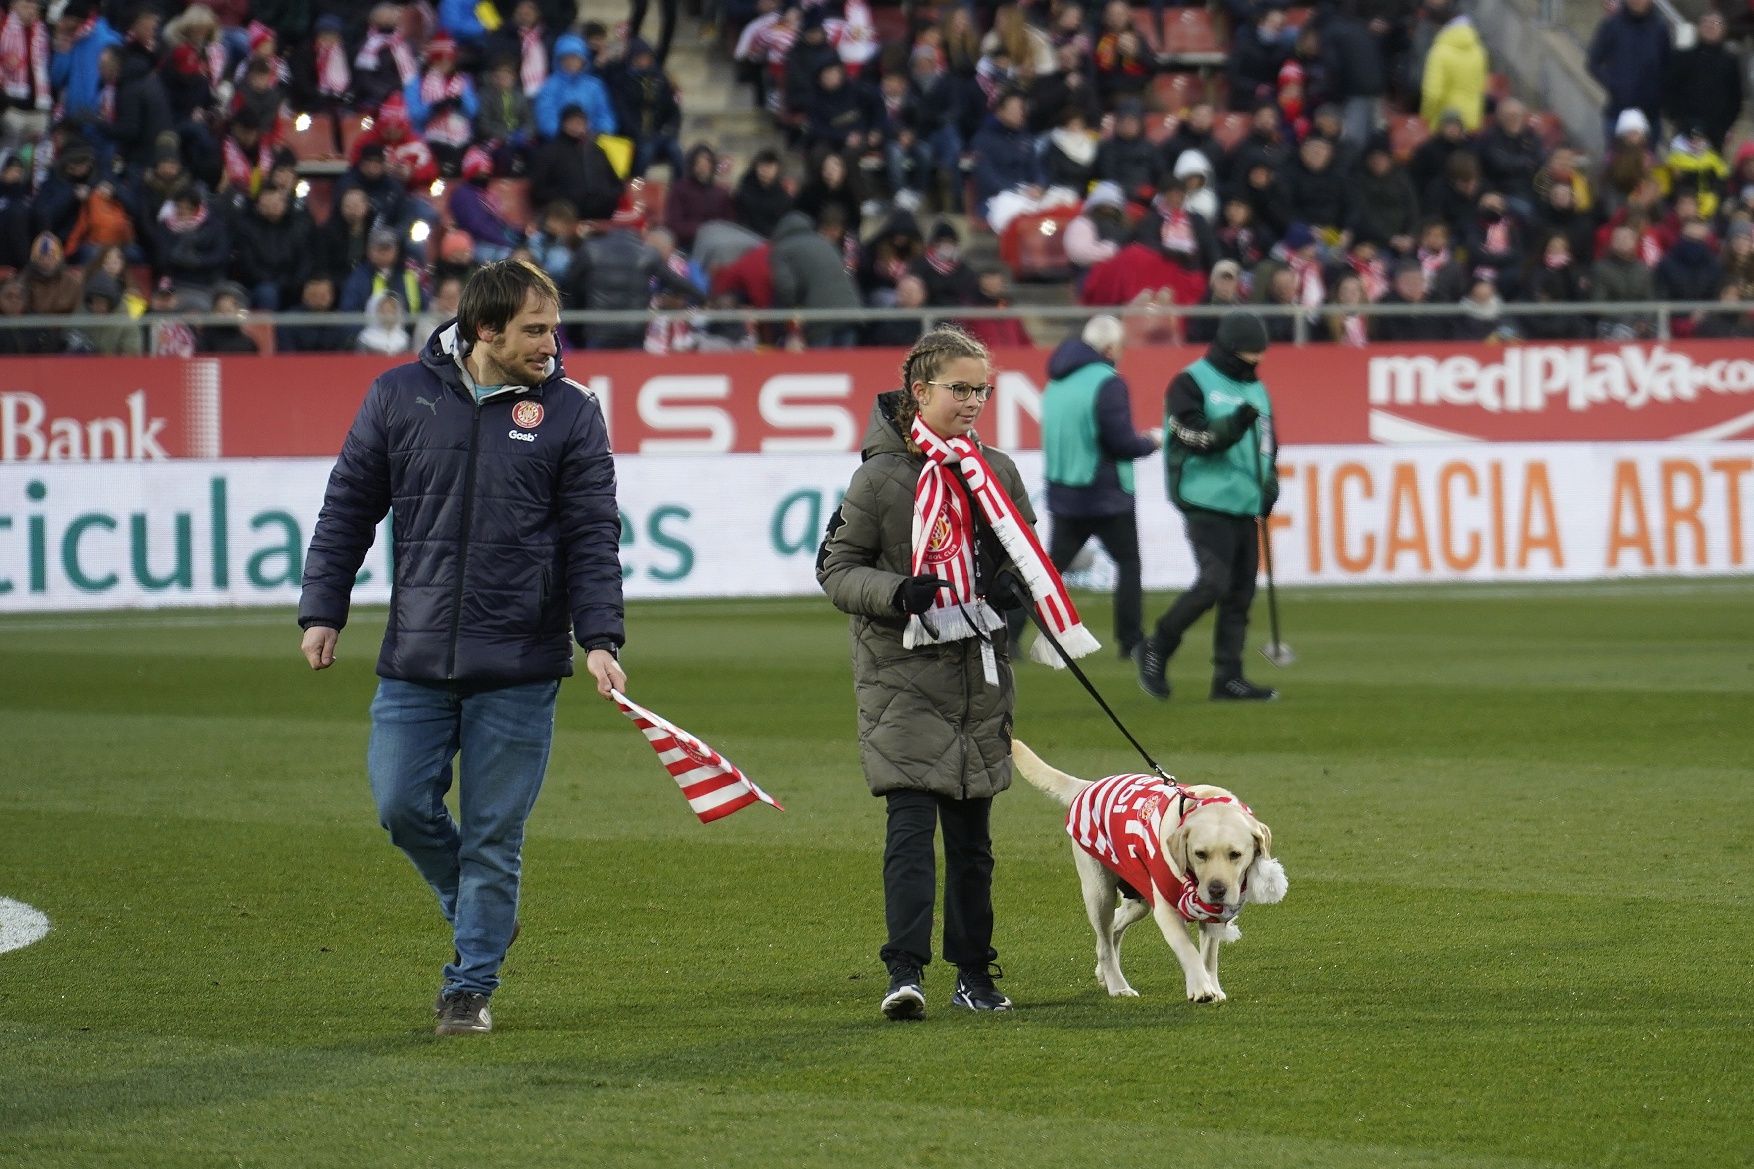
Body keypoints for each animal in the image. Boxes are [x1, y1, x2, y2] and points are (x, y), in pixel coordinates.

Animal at [1010, 737, 1283, 1004]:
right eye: (1200, 854)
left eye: (1235, 855)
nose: (1217, 890)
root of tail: (1089, 785)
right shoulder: (1167, 910)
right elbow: (1188, 949)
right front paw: (1200, 988)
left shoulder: (1212, 912)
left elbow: (1209, 956)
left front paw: (1213, 986)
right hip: (1099, 891)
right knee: (1105, 942)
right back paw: (1118, 986)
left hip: (1136, 895)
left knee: (1113, 928)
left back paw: (1104, 974)